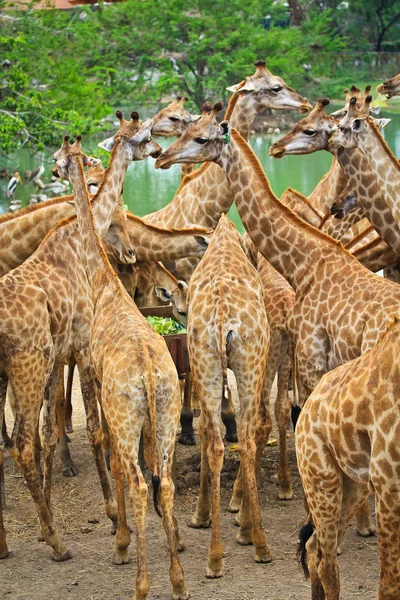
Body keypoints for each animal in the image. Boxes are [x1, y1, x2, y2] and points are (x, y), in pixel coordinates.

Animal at [0, 115, 162, 560]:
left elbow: (51, 430)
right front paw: (109, 513)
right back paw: (57, 544)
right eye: (145, 137)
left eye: (58, 156)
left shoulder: (60, 354)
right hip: (26, 364)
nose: (159, 152)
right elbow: (92, 427)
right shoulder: (82, 346)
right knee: (20, 442)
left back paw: (9, 542)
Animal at [52, 135, 188, 600]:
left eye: (60, 159)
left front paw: (120, 539)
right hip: (166, 414)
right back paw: (179, 581)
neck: (104, 284)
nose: (53, 168)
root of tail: (148, 374)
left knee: (139, 480)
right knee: (164, 483)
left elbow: (108, 455)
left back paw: (141, 582)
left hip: (128, 415)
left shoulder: (95, 379)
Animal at [155, 101, 400, 536]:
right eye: (182, 129)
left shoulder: (311, 357)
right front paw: (352, 524)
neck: (304, 264)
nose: (162, 158)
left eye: (200, 137)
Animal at [296, 316, 400, 596]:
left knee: (313, 547)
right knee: (326, 563)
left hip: (354, 486)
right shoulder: (389, 485)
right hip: (323, 480)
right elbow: (389, 585)